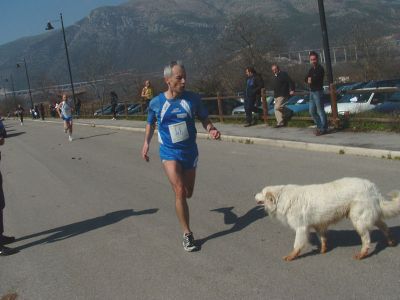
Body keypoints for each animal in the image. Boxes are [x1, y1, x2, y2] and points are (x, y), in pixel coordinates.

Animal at [256, 178, 400, 260]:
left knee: (367, 240)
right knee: (384, 226)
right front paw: (323, 250)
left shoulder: (301, 228)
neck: (282, 198)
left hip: (358, 220)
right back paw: (391, 241)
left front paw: (292, 256)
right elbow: (323, 238)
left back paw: (362, 254)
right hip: (371, 215)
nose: (254, 195)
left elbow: (297, 245)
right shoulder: (318, 225)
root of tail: (372, 187)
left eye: (262, 193)